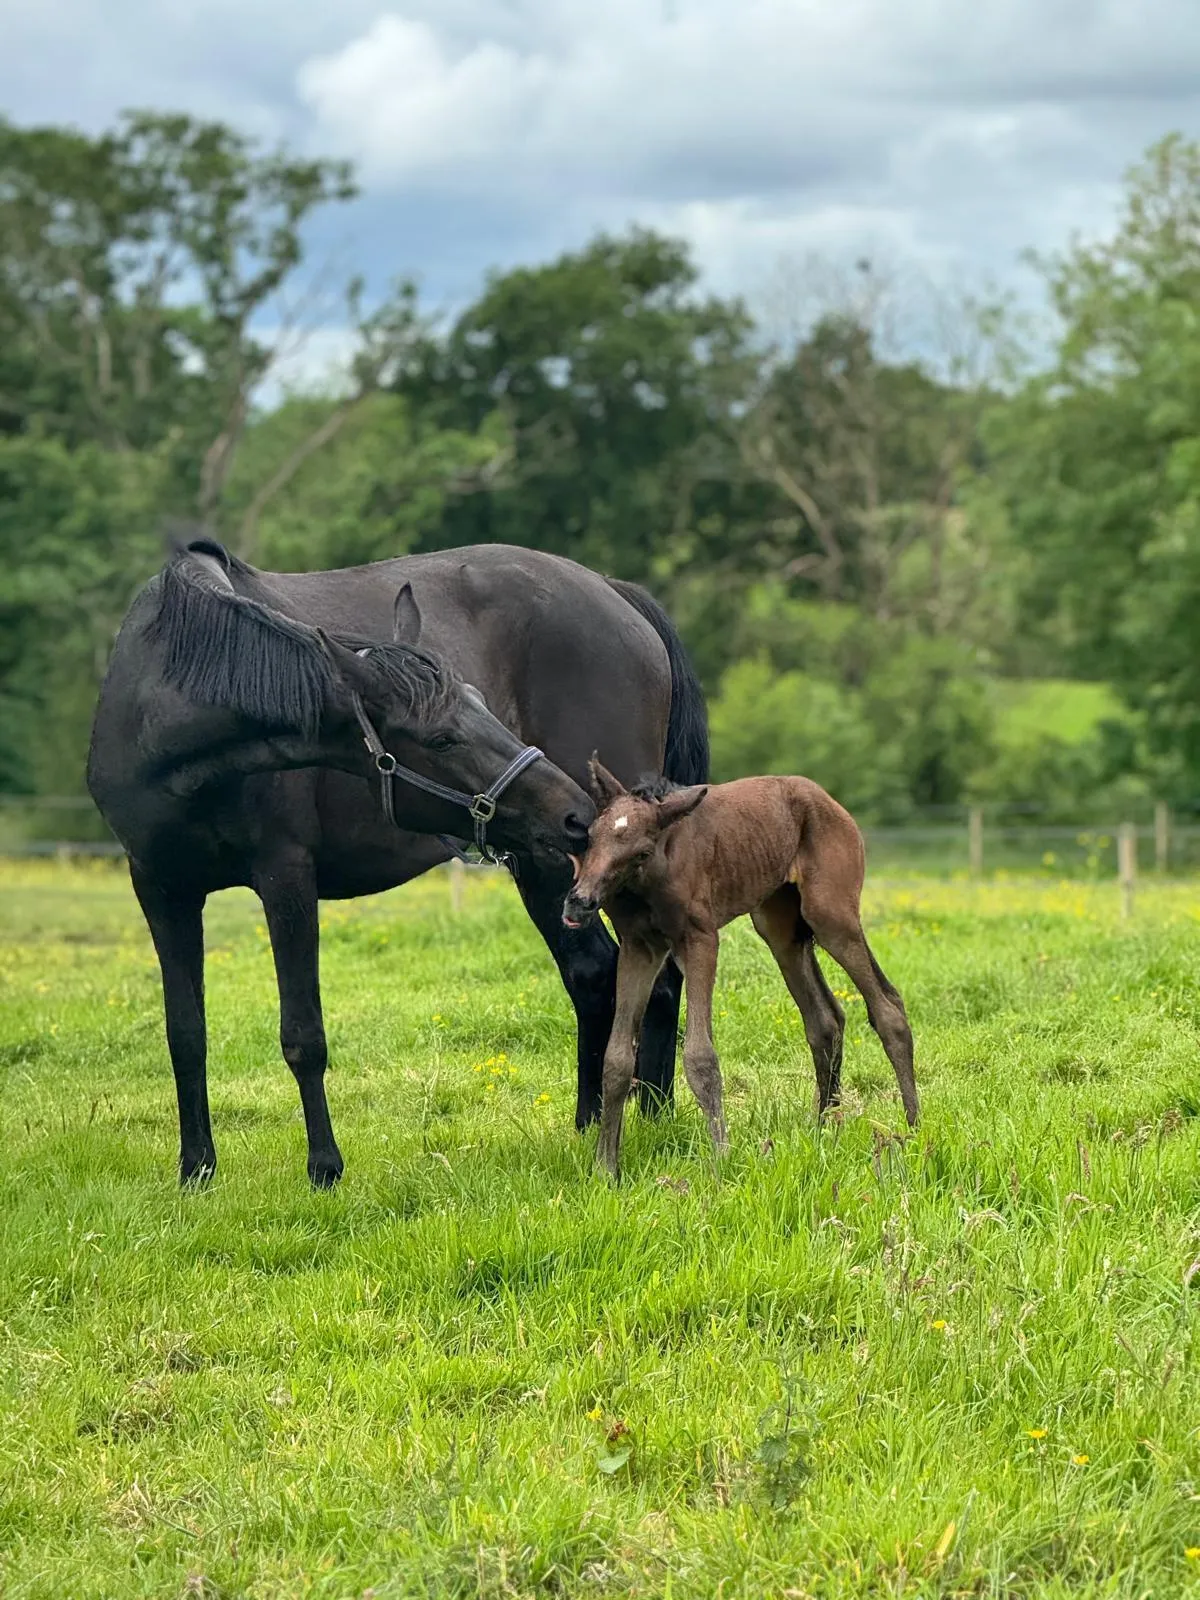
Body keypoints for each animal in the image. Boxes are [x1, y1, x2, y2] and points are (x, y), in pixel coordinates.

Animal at [87, 537, 708, 1186]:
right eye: (440, 739)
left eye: (480, 703)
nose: (578, 814)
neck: (161, 705)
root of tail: (615, 592)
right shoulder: (159, 887)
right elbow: (185, 1033)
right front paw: (196, 1171)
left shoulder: (286, 876)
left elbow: (302, 1033)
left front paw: (324, 1169)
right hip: (542, 864)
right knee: (595, 974)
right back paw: (603, 1122)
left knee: (645, 979)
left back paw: (648, 1118)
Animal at [562, 760, 918, 1181]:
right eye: (591, 835)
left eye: (641, 851)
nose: (580, 901)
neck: (654, 875)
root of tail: (833, 804)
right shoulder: (639, 947)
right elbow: (616, 1059)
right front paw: (605, 1169)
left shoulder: (700, 938)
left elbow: (700, 1056)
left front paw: (721, 1162)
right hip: (780, 927)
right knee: (825, 1019)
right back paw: (824, 1130)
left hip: (831, 915)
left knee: (887, 1006)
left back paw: (913, 1129)